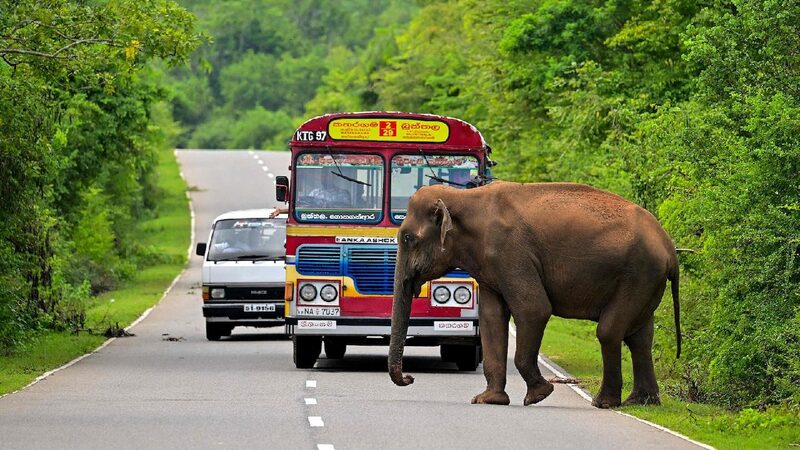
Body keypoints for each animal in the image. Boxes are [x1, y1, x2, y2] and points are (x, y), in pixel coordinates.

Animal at [388, 181, 680, 408]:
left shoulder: (510, 253)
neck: (463, 197)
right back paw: (641, 402)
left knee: (609, 332)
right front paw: (488, 400)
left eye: (408, 239)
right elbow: (491, 318)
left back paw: (604, 403)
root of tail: (669, 246)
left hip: (639, 274)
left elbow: (534, 309)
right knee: (640, 337)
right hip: (646, 282)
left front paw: (539, 395)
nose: (410, 378)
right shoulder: (491, 265)